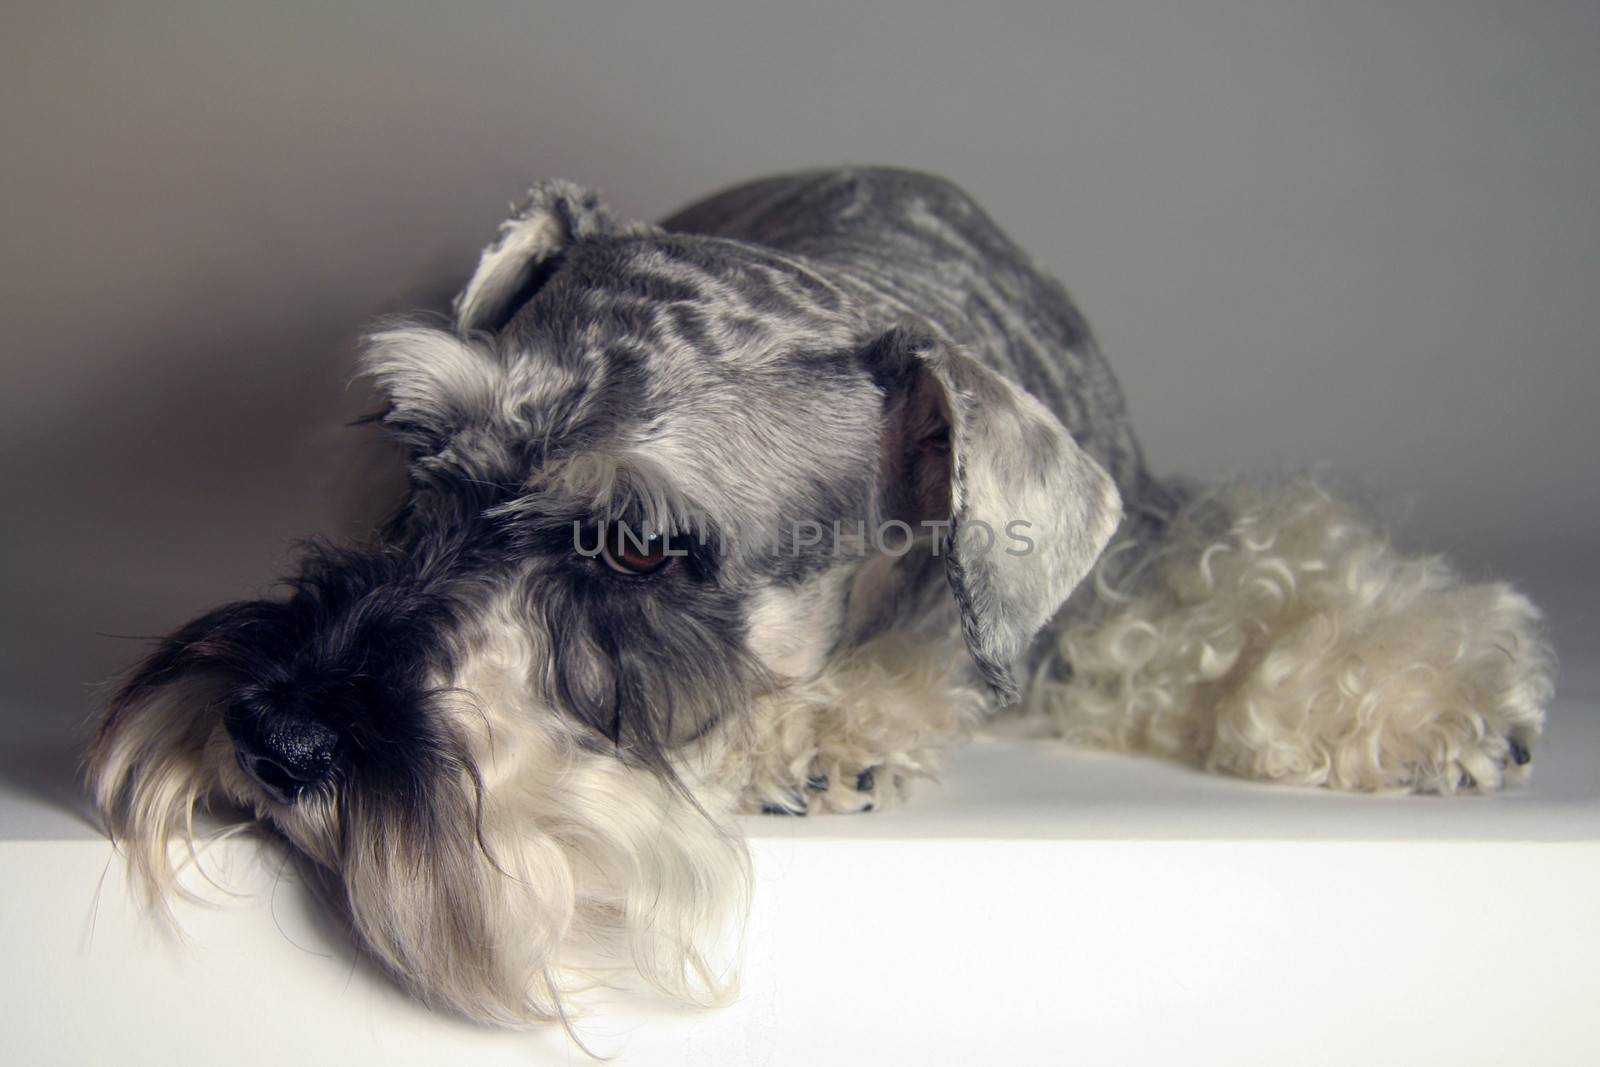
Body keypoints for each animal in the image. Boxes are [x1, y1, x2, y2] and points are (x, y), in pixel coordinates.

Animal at [84, 167, 1548, 1023]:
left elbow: (1252, 581)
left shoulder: (1133, 547)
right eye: (416, 445)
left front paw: (1432, 699)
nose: (271, 737)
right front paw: (815, 722)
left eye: (639, 546)